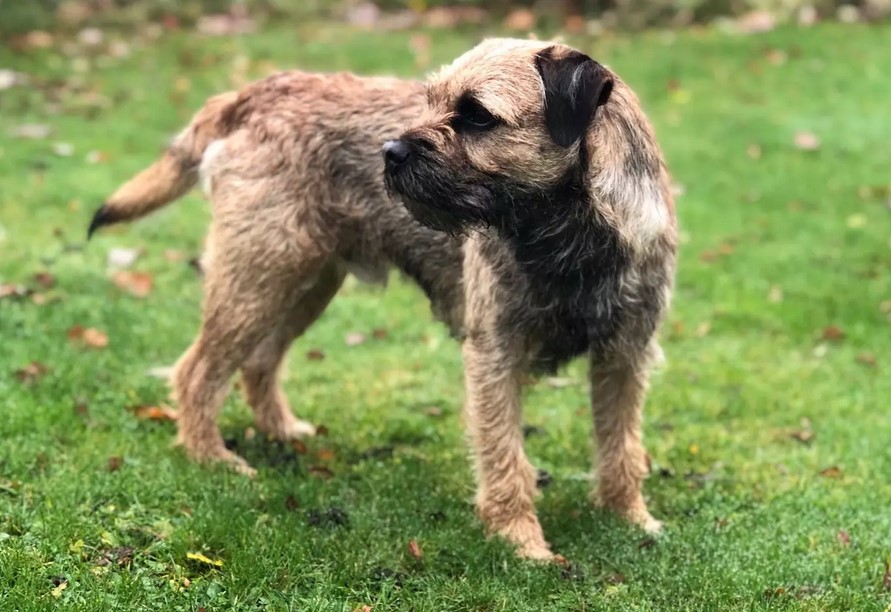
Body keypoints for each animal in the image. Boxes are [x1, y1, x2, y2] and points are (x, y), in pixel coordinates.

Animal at [89, 39, 676, 564]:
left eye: (478, 117)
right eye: (431, 100)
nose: (389, 153)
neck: (567, 237)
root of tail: (257, 90)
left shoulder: (626, 356)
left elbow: (622, 447)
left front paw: (630, 520)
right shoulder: (495, 356)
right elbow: (504, 457)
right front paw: (522, 543)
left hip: (302, 284)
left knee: (258, 361)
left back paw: (281, 431)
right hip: (258, 275)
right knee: (198, 371)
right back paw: (212, 459)